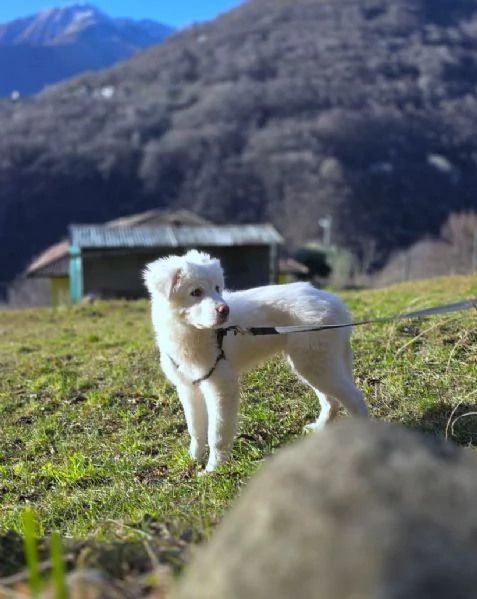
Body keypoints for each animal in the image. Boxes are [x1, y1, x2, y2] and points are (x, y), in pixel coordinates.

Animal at [143, 250, 366, 474]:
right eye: (195, 292)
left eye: (217, 288)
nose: (225, 310)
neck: (194, 334)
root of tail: (336, 302)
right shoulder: (188, 387)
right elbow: (195, 430)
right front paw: (193, 459)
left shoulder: (221, 386)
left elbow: (217, 433)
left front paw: (213, 469)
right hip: (314, 363)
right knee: (331, 401)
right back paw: (319, 429)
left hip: (314, 363)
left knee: (353, 398)